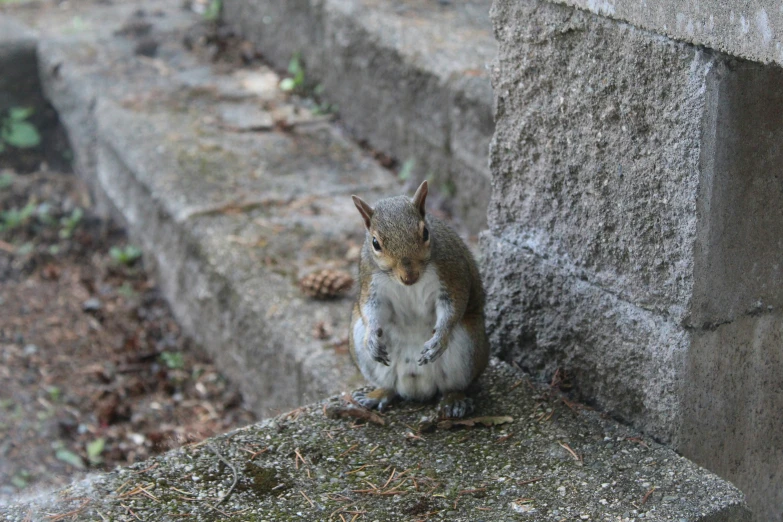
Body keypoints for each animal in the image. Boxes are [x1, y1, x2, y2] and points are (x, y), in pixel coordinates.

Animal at [350, 181, 490, 416]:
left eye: (425, 233)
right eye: (375, 243)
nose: (409, 276)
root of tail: (416, 387)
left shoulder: (451, 274)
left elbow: (453, 306)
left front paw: (439, 338)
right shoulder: (371, 282)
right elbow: (370, 309)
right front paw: (372, 339)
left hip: (467, 347)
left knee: (453, 385)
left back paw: (454, 400)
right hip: (363, 348)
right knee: (389, 385)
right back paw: (377, 395)